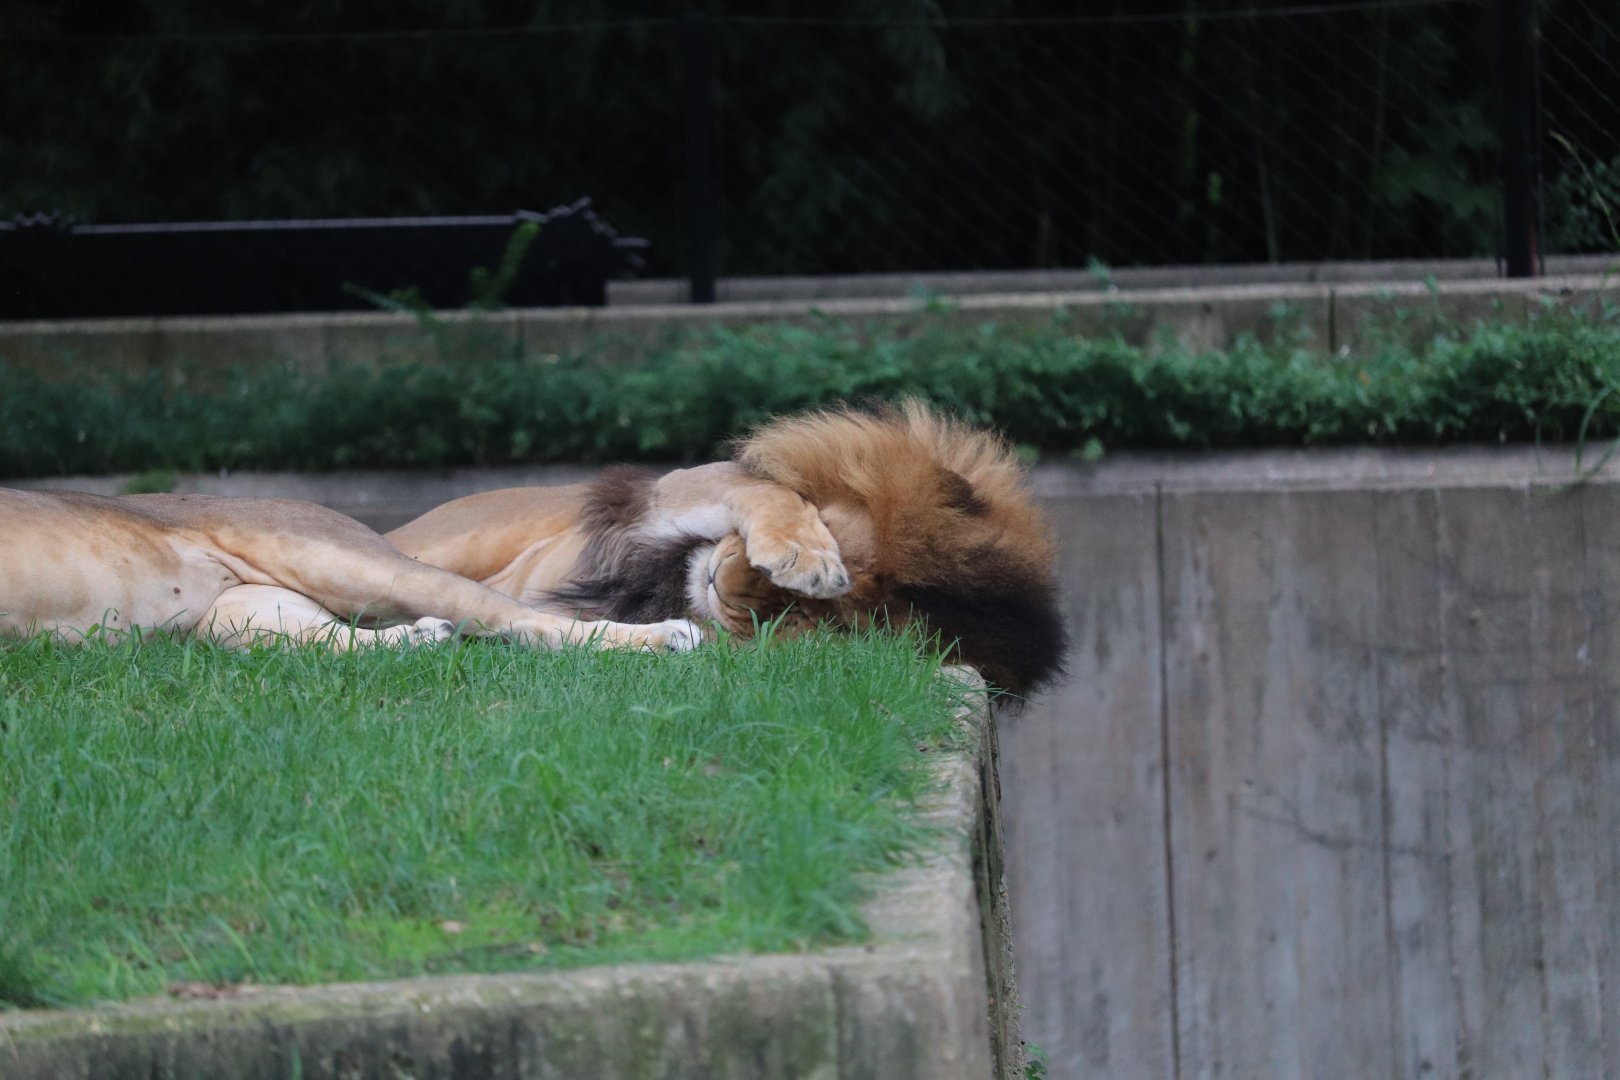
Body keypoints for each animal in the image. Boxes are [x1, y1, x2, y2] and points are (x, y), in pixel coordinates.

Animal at [387, 402, 1066, 695]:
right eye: (835, 540)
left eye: (816, 622)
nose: (730, 579)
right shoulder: (674, 491)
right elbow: (767, 491)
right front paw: (804, 554)